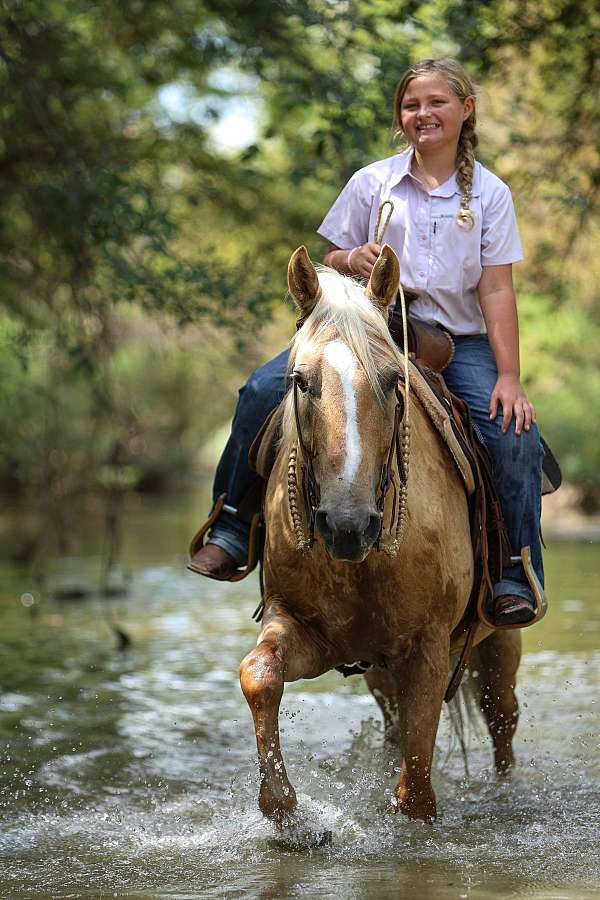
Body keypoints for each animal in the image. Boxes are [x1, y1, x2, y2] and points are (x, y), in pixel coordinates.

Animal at [239, 244, 520, 824]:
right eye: (300, 381)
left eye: (393, 381)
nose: (348, 525)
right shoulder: (300, 624)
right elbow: (259, 673)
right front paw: (290, 817)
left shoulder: (428, 653)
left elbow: (416, 794)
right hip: (380, 674)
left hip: (500, 642)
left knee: (502, 719)